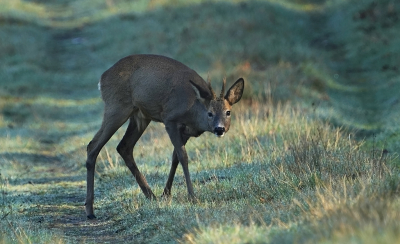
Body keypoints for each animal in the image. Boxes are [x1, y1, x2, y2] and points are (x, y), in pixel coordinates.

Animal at [84, 54, 244, 218]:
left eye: (228, 112)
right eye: (210, 113)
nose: (220, 129)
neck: (193, 109)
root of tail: (102, 78)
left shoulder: (186, 131)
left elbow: (175, 158)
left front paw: (166, 194)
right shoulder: (170, 120)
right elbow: (183, 157)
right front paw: (192, 197)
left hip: (140, 116)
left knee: (124, 147)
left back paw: (151, 196)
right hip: (117, 107)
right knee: (93, 145)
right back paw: (90, 210)